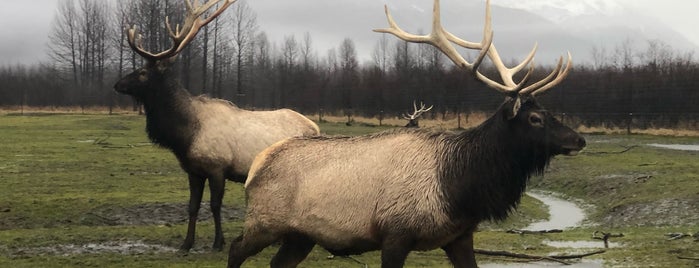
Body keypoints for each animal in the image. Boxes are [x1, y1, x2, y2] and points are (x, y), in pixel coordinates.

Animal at [113, 0, 320, 252]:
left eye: (142, 72)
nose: (117, 84)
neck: (185, 135)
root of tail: (316, 128)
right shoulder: (193, 170)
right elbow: (192, 206)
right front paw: (186, 243)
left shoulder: (217, 167)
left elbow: (214, 205)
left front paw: (218, 242)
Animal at [226, 0, 584, 266]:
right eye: (535, 118)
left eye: (549, 112)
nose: (579, 139)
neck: (459, 190)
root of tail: (256, 166)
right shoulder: (395, 234)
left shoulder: (459, 237)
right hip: (264, 220)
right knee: (235, 248)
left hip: (300, 235)